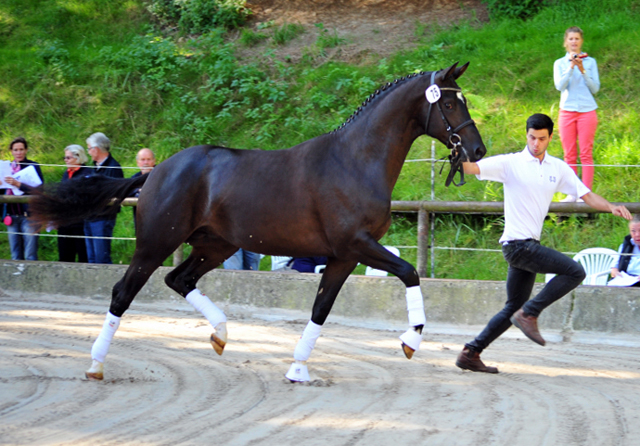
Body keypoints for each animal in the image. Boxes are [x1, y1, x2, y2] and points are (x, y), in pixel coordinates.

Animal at [30, 62, 484, 384]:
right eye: (448, 103)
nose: (477, 149)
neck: (355, 161)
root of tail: (157, 170)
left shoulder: (343, 256)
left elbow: (321, 308)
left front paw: (298, 369)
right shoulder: (357, 244)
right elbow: (409, 272)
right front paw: (410, 341)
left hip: (216, 245)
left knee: (179, 279)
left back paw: (220, 334)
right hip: (155, 244)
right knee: (123, 293)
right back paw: (95, 365)